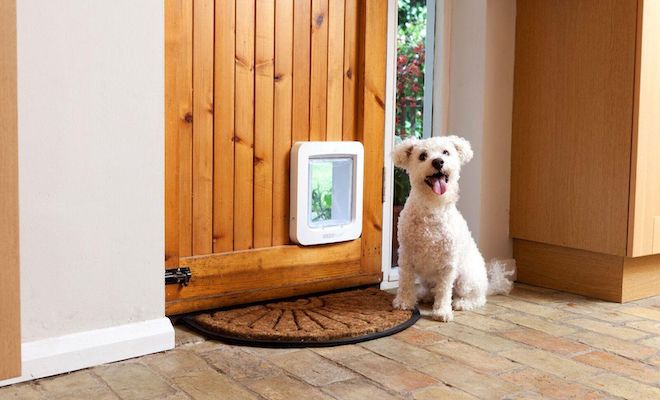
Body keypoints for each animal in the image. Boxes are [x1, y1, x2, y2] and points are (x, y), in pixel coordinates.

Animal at [390, 135, 512, 322]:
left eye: (446, 152)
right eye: (422, 156)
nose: (438, 162)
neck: (433, 208)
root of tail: (488, 285)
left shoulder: (447, 263)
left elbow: (444, 290)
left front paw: (441, 311)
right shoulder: (406, 254)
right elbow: (405, 281)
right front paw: (404, 302)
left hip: (466, 279)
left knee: (476, 298)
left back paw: (461, 303)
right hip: (428, 279)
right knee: (431, 290)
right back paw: (424, 295)